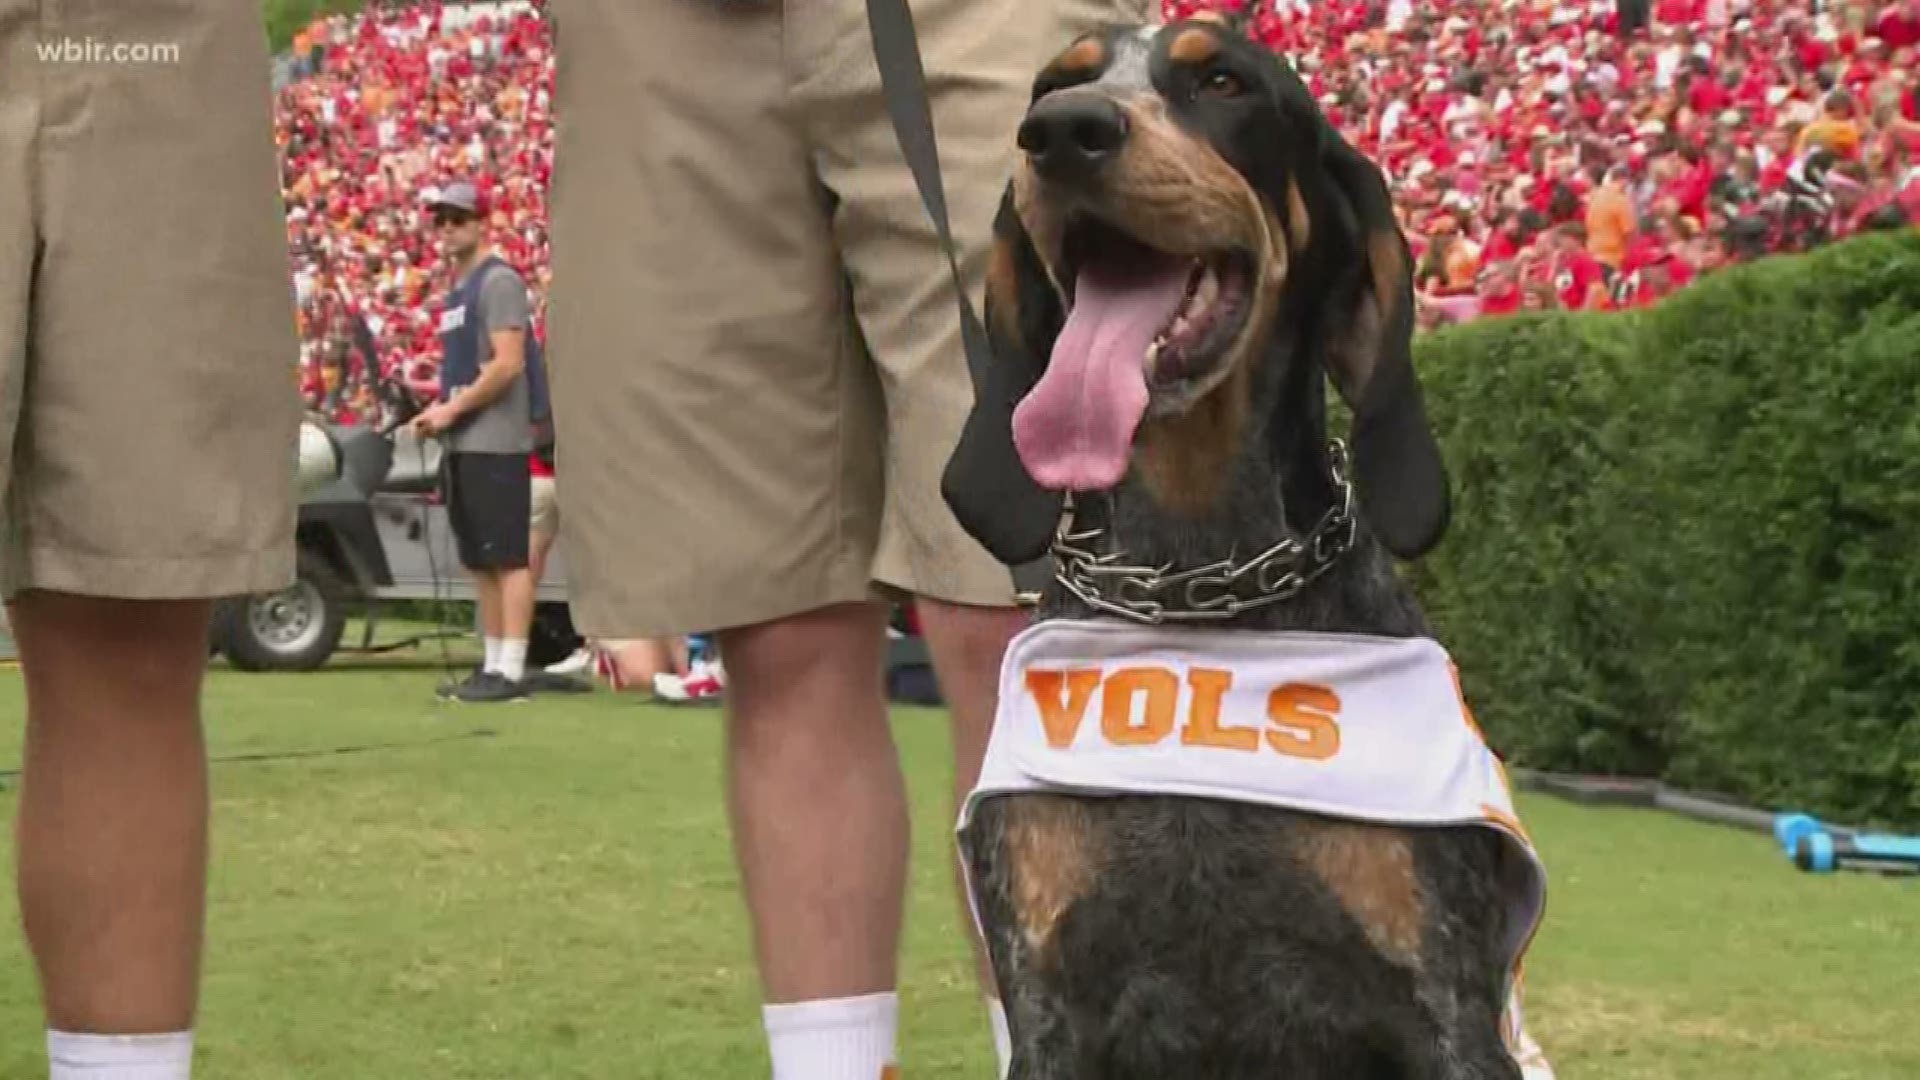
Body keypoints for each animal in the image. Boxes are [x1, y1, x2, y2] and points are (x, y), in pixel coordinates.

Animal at [948, 18, 1559, 1076]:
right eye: (1050, 86)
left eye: (1224, 83)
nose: (1063, 132)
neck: (1198, 587)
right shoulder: (1049, 1005)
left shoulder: (1449, 1009)